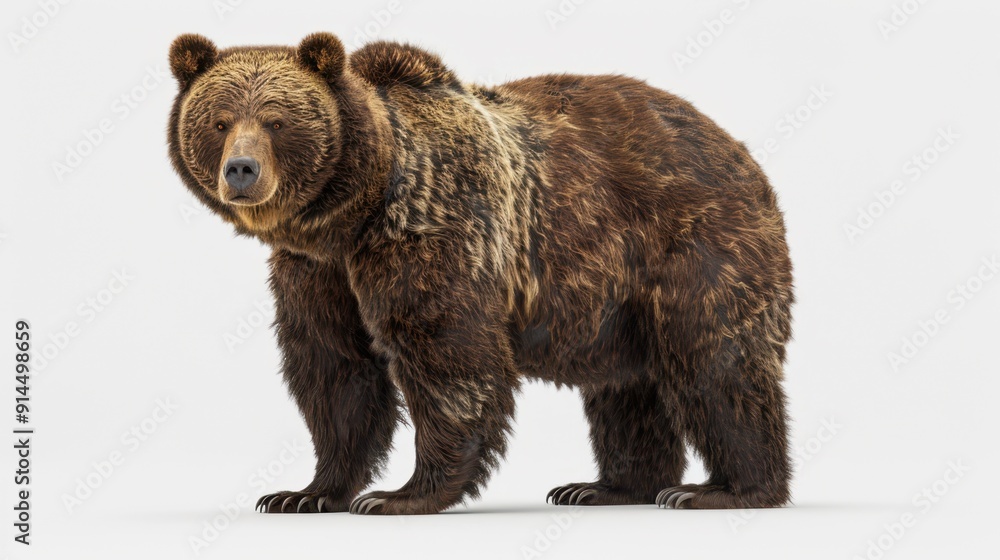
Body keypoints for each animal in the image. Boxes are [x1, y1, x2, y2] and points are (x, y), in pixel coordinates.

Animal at [168, 32, 794, 514]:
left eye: (276, 120)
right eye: (220, 120)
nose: (241, 169)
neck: (351, 213)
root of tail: (740, 150)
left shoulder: (435, 228)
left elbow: (448, 355)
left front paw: (401, 494)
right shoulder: (318, 273)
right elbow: (335, 368)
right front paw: (305, 493)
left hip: (692, 245)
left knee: (714, 361)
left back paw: (723, 490)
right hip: (613, 300)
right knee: (625, 386)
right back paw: (604, 486)